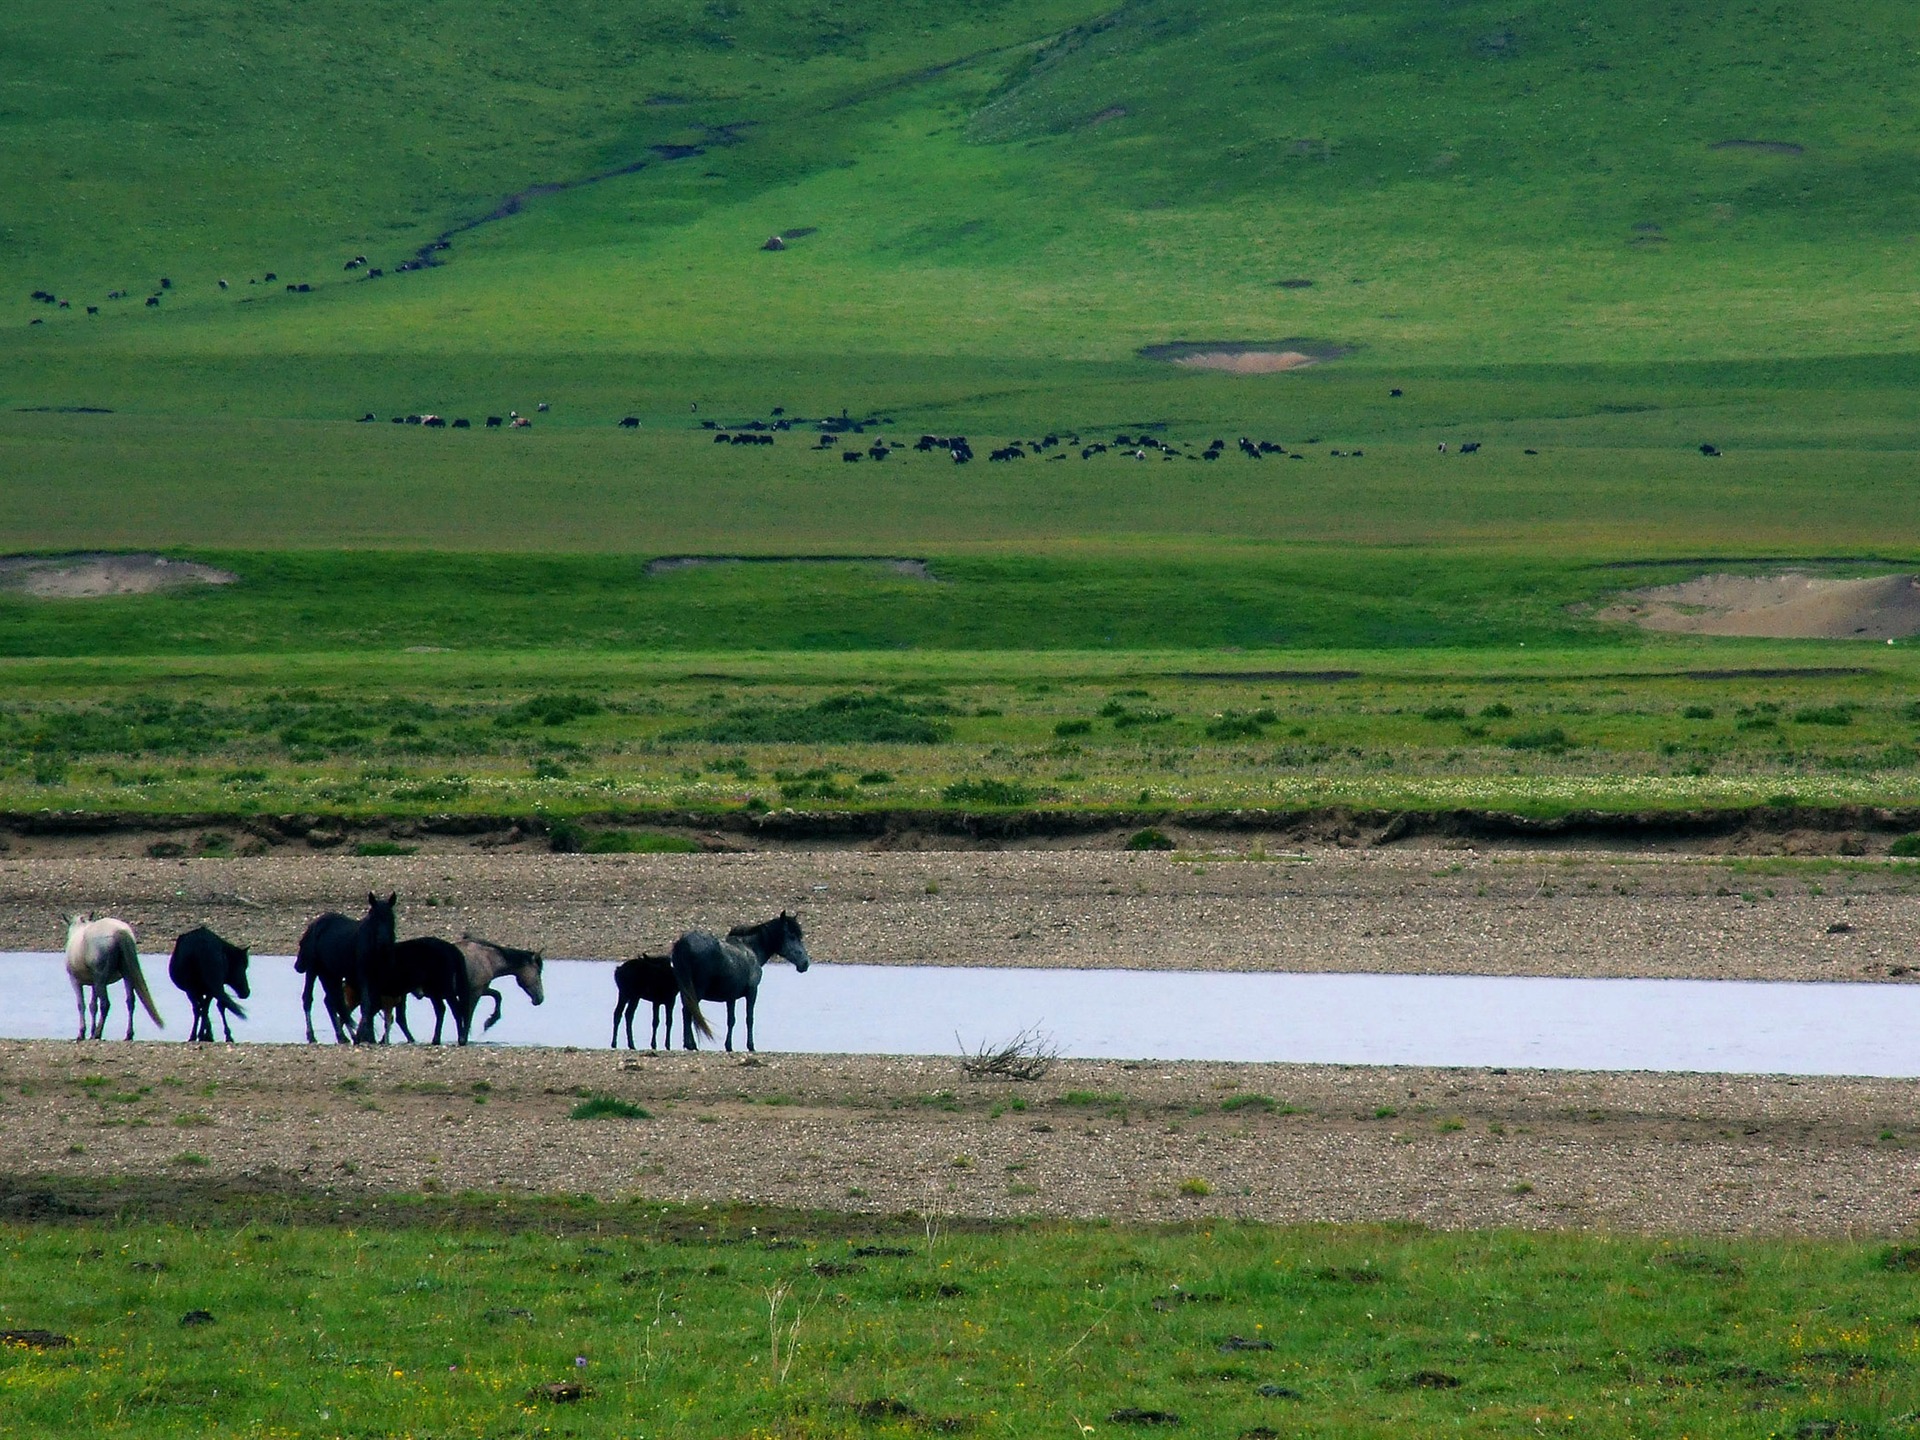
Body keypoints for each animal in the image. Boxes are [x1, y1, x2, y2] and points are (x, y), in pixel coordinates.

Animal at [291, 890, 393, 1052]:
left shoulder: (377, 979)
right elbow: (366, 1004)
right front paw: (366, 1036)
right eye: (374, 919)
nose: (383, 944)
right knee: (309, 999)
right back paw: (312, 1036)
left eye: (390, 918)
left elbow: (373, 1004)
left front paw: (367, 1036)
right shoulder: (362, 976)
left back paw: (344, 1036)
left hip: (330, 974)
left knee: (333, 1001)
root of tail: (313, 926)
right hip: (313, 969)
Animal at [668, 917, 810, 1052]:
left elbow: (731, 1020)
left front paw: (729, 1046)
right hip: (697, 990)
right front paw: (750, 1046)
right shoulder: (752, 992)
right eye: (792, 936)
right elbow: (749, 1019)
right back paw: (690, 1044)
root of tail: (684, 943)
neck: (750, 949)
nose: (805, 963)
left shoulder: (731, 997)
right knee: (689, 1011)